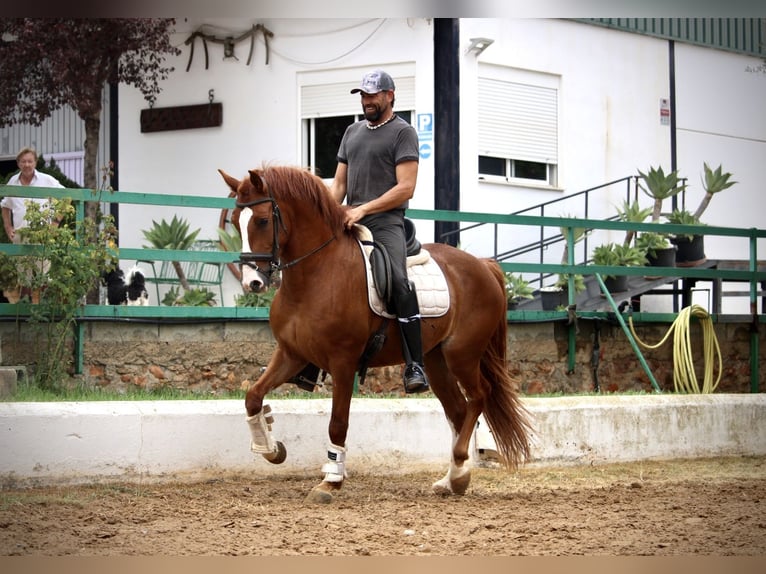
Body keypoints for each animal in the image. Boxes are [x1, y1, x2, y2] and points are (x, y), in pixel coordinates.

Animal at [219, 165, 532, 504]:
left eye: (263, 220)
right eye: (235, 221)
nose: (252, 282)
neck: (317, 273)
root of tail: (484, 266)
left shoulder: (343, 362)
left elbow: (337, 423)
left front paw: (331, 480)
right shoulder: (291, 353)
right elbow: (253, 396)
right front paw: (271, 448)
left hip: (462, 354)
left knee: (479, 397)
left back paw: (459, 467)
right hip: (436, 361)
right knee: (458, 410)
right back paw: (454, 478)